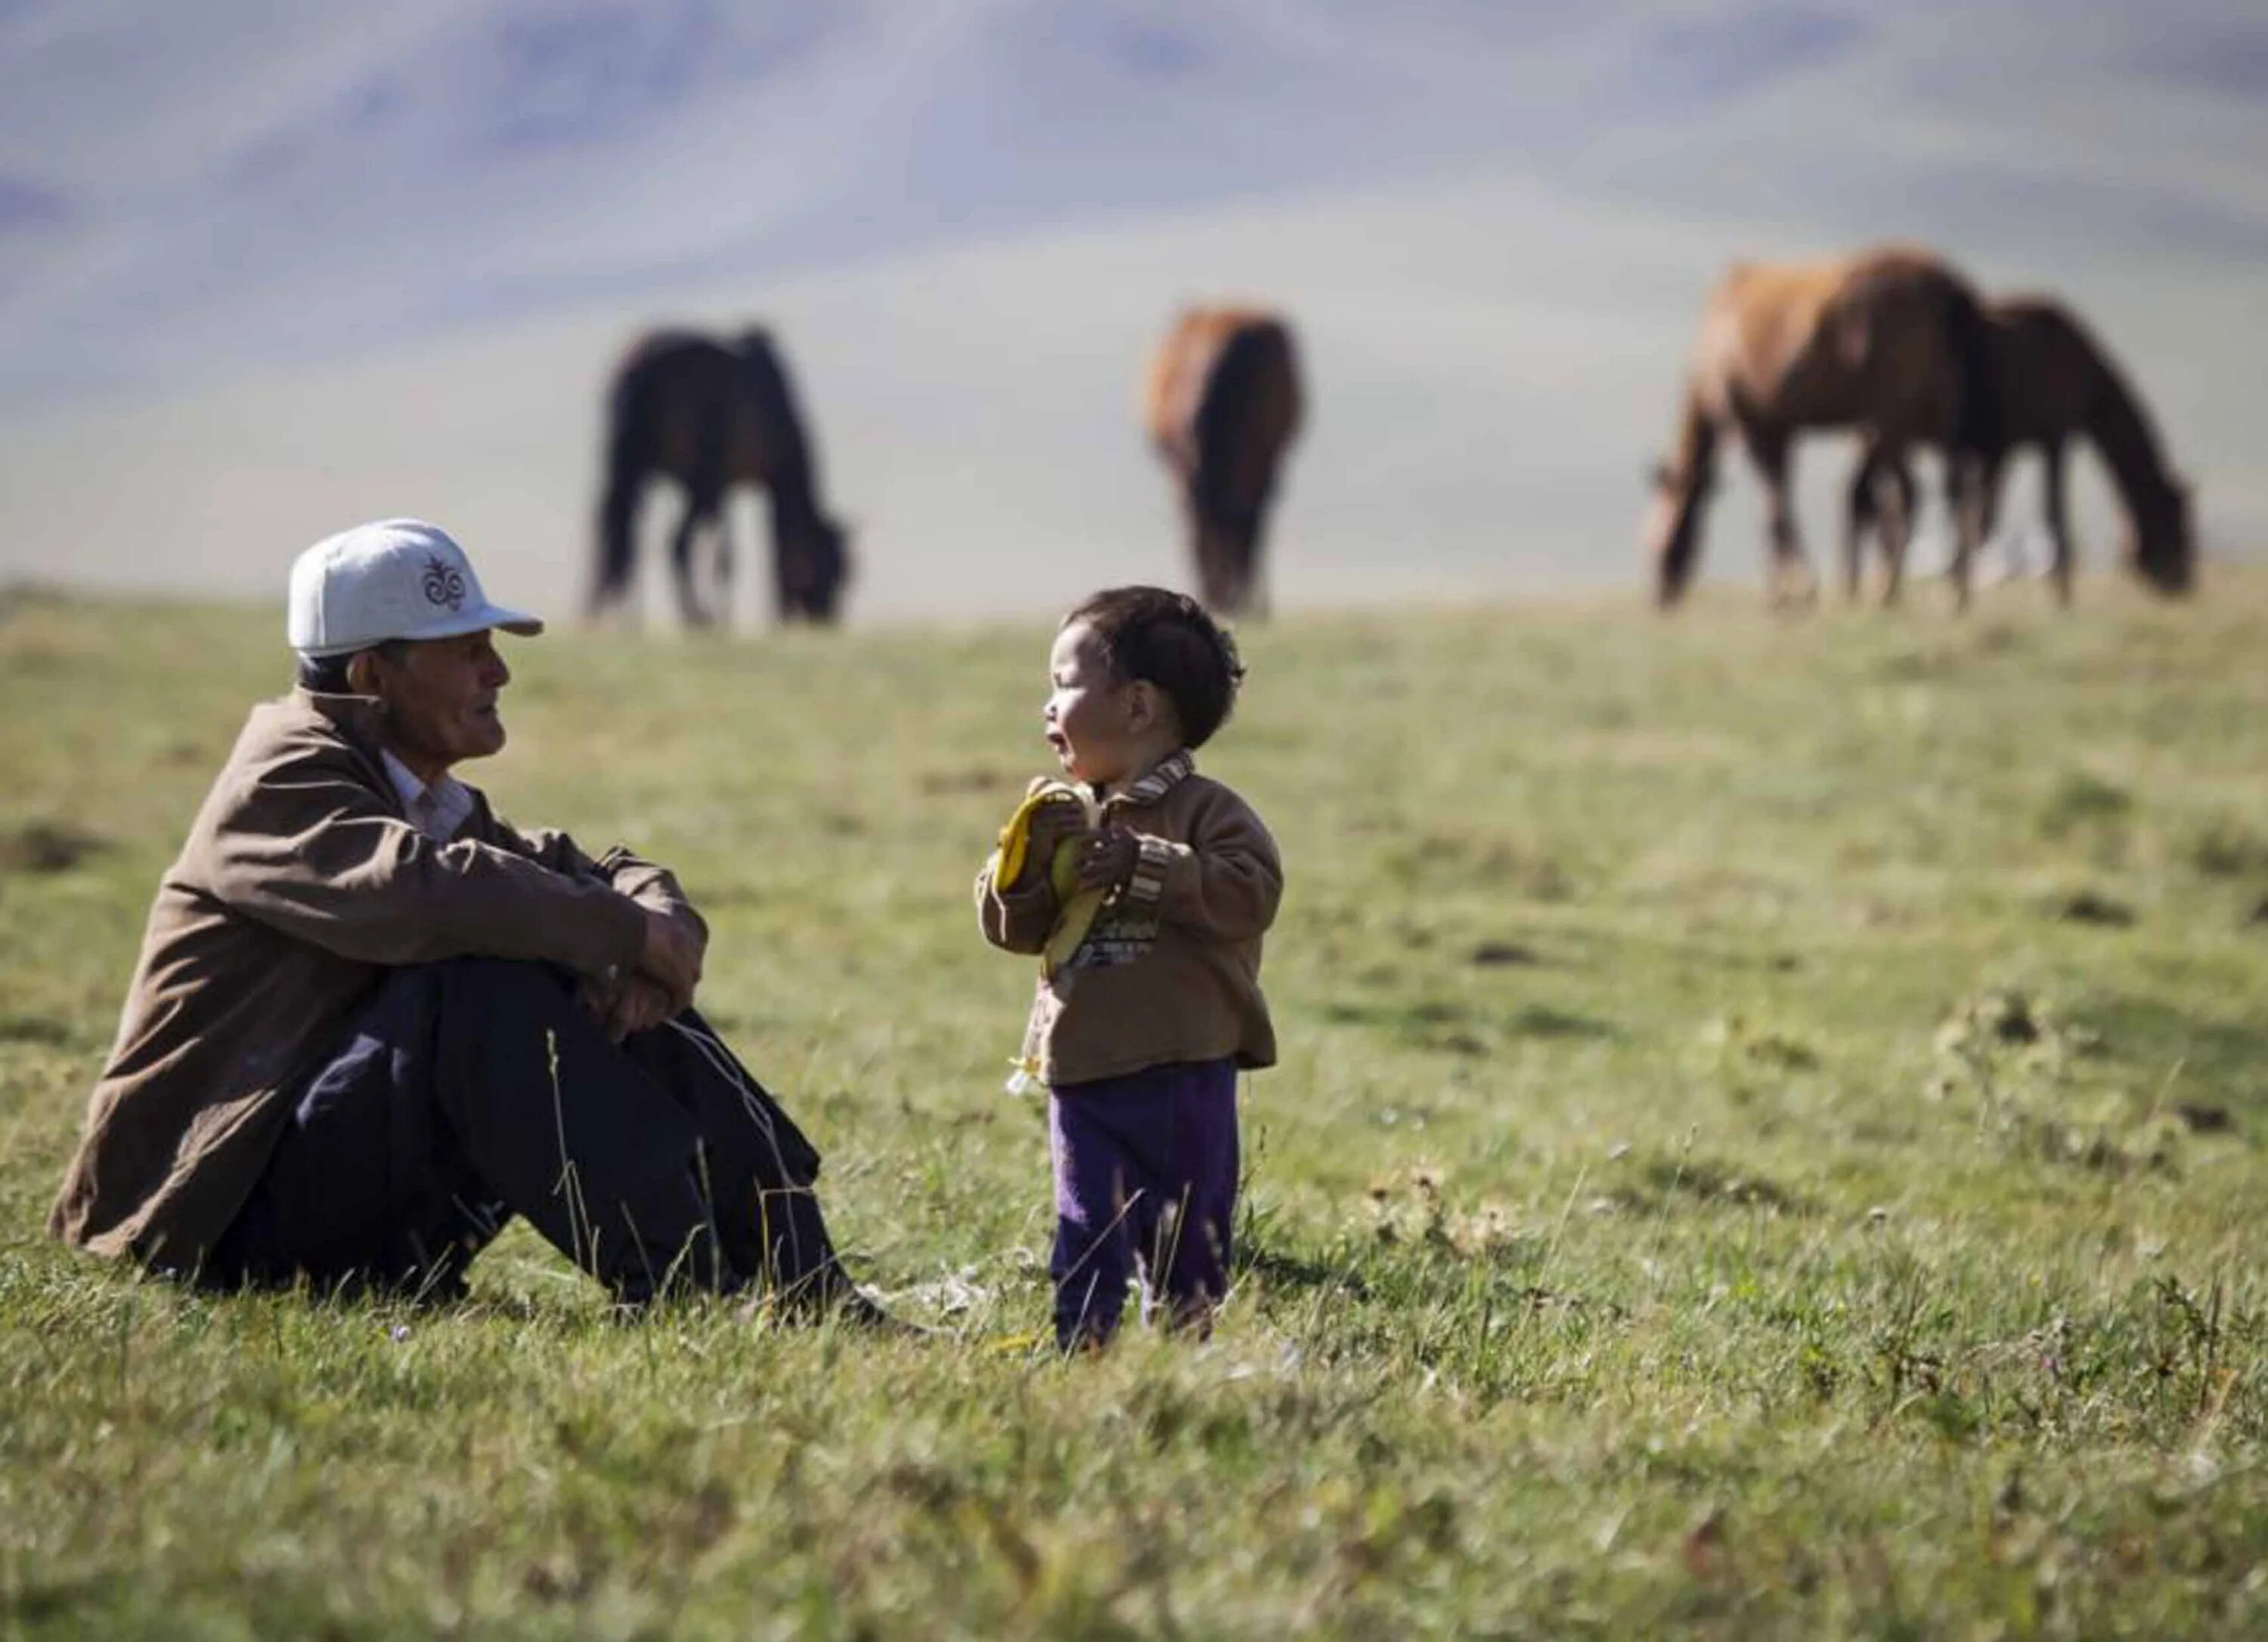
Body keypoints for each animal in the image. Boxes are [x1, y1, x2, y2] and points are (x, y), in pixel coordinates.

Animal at [594, 327, 853, 630]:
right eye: (831, 567)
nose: (827, 619)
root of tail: (640, 365)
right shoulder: (729, 483)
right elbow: (744, 553)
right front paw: (743, 618)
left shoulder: (726, 486)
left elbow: (730, 553)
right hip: (695, 482)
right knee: (674, 542)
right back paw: (694, 616)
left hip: (633, 471)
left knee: (622, 535)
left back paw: (625, 617)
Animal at [1642, 240, 1996, 608]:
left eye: (1655, 540)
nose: (1659, 596)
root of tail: (1948, 286)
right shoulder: (1781, 430)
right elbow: (1781, 502)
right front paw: (1789, 588)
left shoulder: (1755, 427)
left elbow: (1776, 510)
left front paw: (1791, 592)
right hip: (1940, 412)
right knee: (1956, 489)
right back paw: (1953, 592)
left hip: (1893, 417)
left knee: (1909, 495)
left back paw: (1888, 589)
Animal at [1842, 295, 2195, 603]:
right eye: (2175, 517)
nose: (2182, 582)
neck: (2085, 373)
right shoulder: (2054, 438)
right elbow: (2050, 515)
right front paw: (2060, 598)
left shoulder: (2007, 450)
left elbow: (1986, 519)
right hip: (1892, 435)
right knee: (1885, 502)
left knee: (1885, 502)